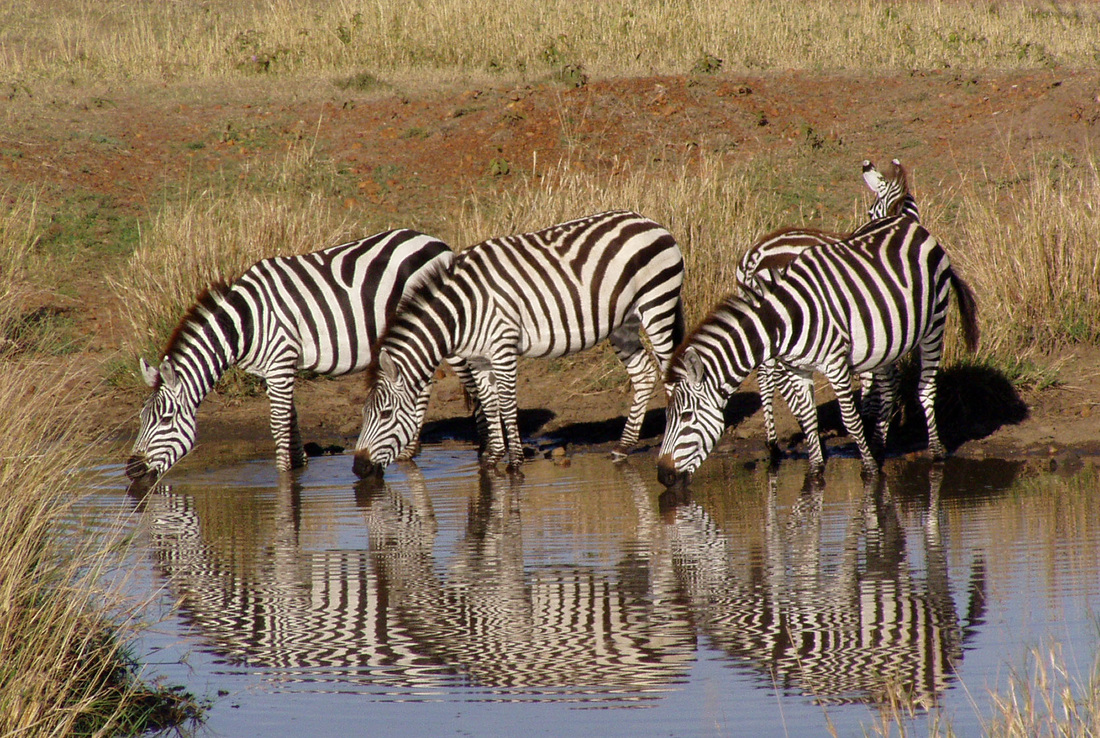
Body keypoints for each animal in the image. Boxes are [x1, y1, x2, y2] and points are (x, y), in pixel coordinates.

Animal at [125, 229, 454, 494]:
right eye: (141, 418)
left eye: (165, 420)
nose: (131, 470)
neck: (245, 324)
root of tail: (437, 242)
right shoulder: (277, 368)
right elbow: (291, 419)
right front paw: (301, 464)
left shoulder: (281, 361)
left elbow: (279, 424)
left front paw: (285, 479)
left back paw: (408, 451)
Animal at [353, 210, 685, 478]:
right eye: (364, 414)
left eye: (385, 414)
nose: (357, 468)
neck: (463, 311)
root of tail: (649, 222)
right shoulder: (479, 359)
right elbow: (489, 405)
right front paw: (492, 460)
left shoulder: (503, 348)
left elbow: (507, 404)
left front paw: (514, 463)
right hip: (622, 323)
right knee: (643, 375)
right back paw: (623, 447)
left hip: (657, 304)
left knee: (670, 373)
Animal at [656, 215, 979, 488]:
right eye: (668, 417)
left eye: (686, 416)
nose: (662, 475)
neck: (786, 318)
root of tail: (911, 224)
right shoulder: (798, 368)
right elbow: (808, 415)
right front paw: (815, 470)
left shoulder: (835, 364)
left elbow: (850, 420)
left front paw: (869, 470)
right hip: (887, 339)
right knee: (889, 386)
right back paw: (879, 447)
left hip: (935, 324)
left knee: (925, 387)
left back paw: (935, 452)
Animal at [737, 159, 921, 458]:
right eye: (870, 212)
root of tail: (753, 256)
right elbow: (877, 375)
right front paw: (872, 422)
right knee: (770, 374)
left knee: (769, 374)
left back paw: (783, 439)